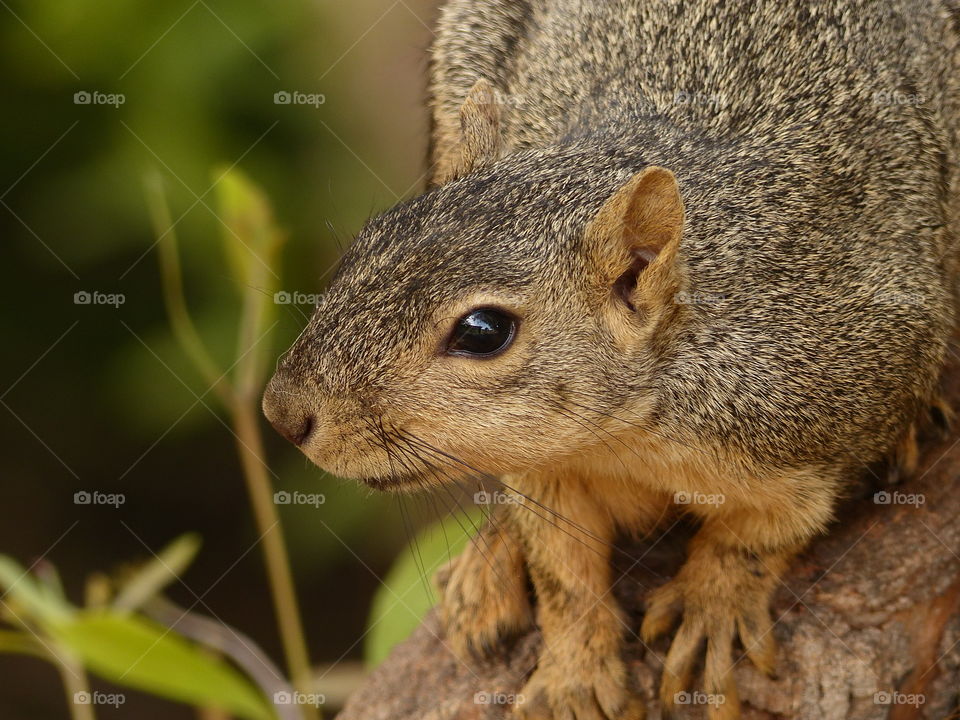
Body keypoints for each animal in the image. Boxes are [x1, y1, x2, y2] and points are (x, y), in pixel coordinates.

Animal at [262, 1, 960, 720]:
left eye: (483, 332)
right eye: (367, 242)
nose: (283, 412)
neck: (625, 435)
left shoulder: (845, 395)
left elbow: (762, 534)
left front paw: (713, 604)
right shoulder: (544, 468)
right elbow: (561, 569)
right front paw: (572, 673)